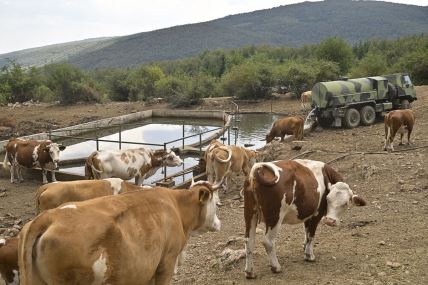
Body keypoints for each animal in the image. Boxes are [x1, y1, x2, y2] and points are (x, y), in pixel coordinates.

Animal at [18, 181, 222, 282]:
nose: (219, 223)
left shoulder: (146, 269)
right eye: (215, 201)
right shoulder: (167, 262)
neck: (176, 207)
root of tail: (49, 217)